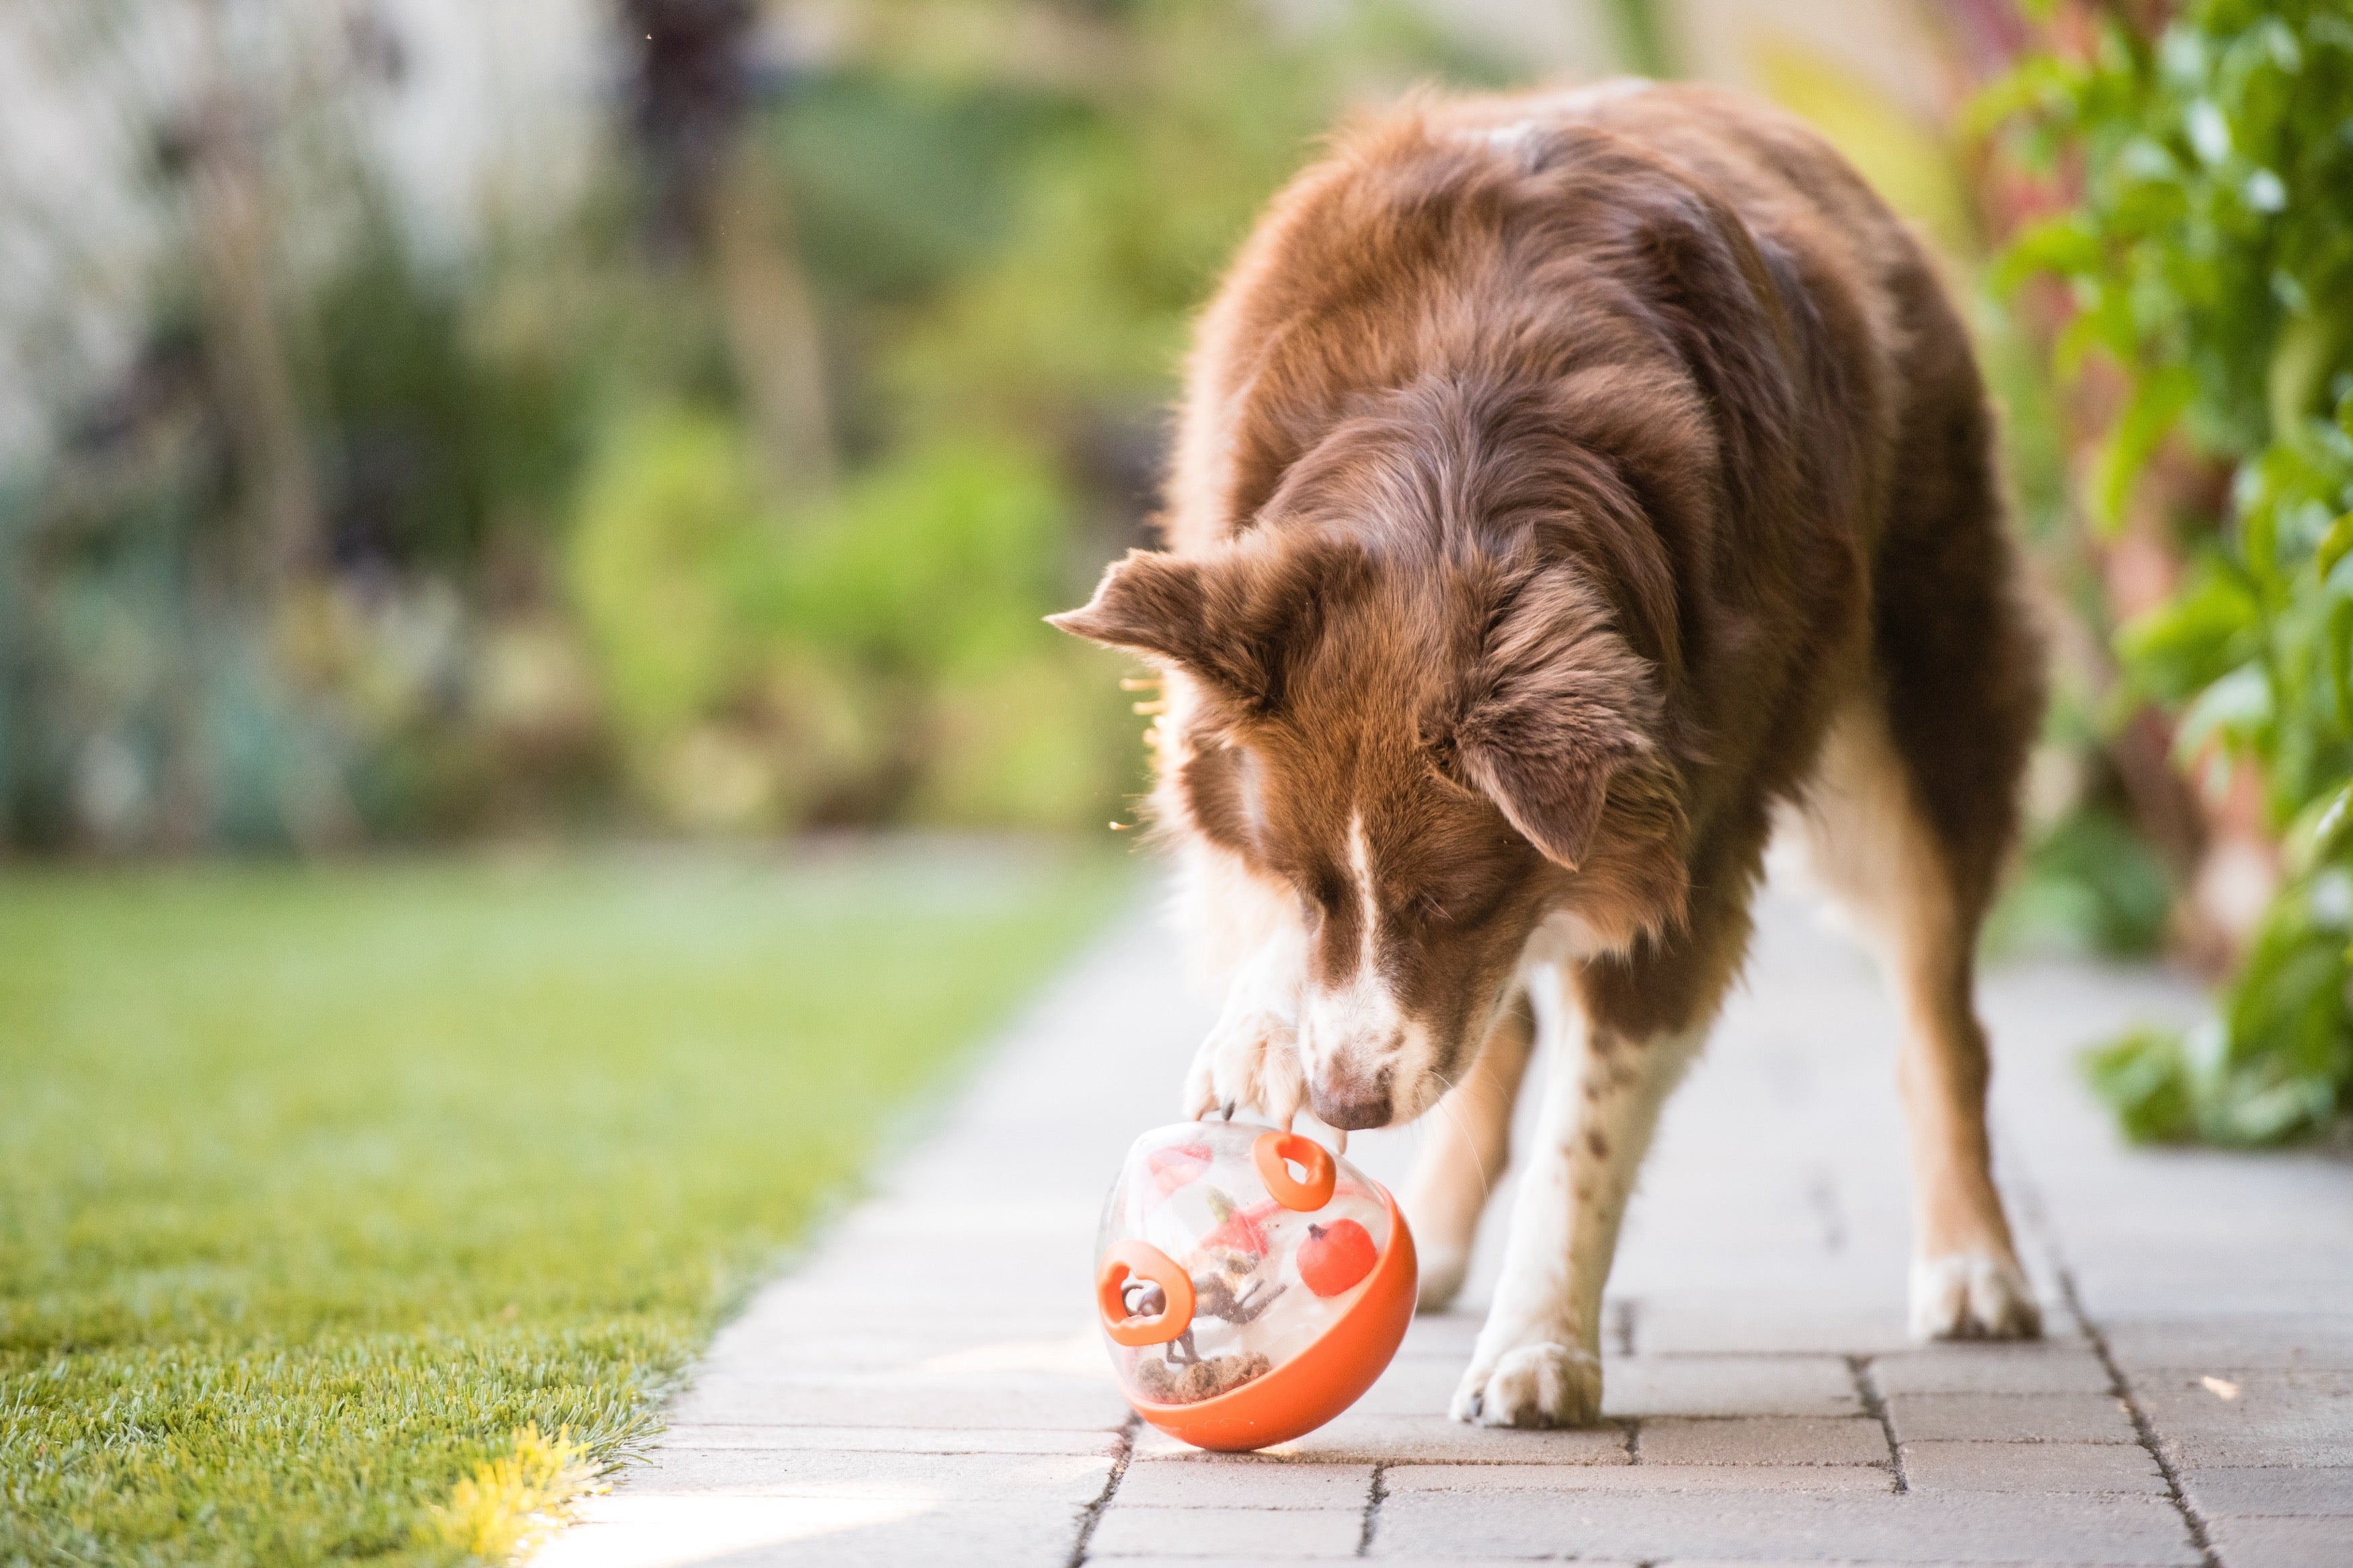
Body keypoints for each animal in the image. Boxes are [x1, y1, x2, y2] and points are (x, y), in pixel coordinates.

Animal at [1049, 89, 2042, 1438]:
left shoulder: (1682, 845)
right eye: (1305, 882)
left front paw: (1538, 1347)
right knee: (1496, 1042)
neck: (1456, 441)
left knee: (1941, 1017)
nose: (1349, 1109)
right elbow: (1350, 976)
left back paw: (1974, 1260)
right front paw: (1261, 1027)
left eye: (1453, 900)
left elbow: (1587, 1128)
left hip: (1915, 729)